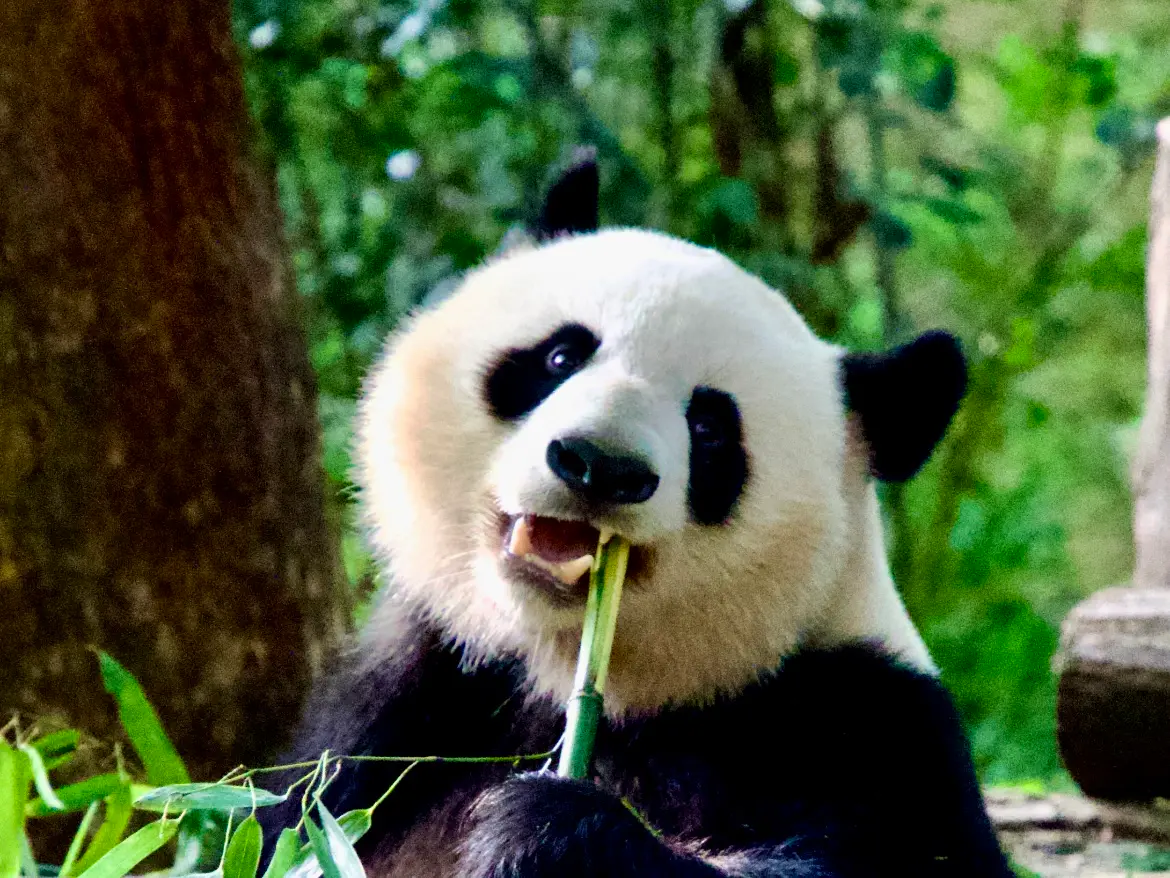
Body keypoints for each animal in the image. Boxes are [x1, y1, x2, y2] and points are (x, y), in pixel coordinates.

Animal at [262, 154, 1014, 878]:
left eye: (710, 427)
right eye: (560, 355)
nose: (600, 464)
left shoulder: (866, 724)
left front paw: (541, 832)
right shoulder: (413, 695)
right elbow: (290, 821)